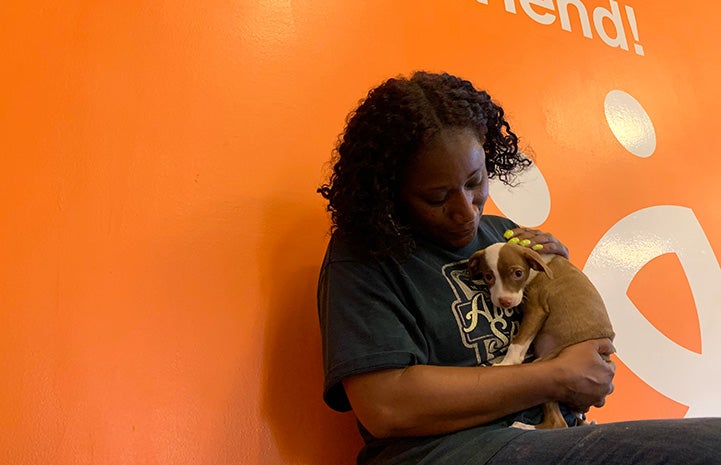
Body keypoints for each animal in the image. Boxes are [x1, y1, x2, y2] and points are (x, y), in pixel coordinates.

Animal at [466, 243, 612, 428]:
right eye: (488, 276)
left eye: (518, 273)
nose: (504, 302)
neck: (538, 267)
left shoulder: (536, 310)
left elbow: (518, 342)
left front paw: (506, 364)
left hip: (546, 372)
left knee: (558, 423)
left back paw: (523, 426)